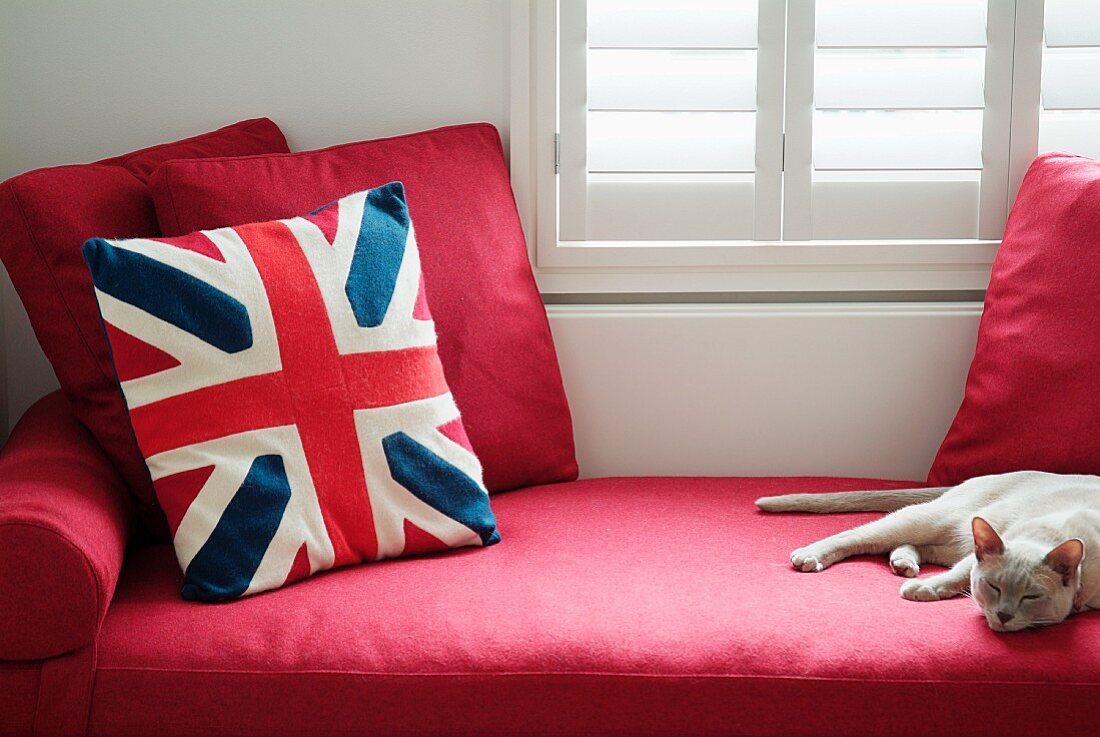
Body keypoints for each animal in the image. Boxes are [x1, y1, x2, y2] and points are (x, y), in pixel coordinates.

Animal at [756, 473, 1100, 633]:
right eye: (994, 587)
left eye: (1031, 597)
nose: (1003, 615)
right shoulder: (981, 554)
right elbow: (959, 576)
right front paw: (925, 590)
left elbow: (959, 577)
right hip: (932, 519)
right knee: (860, 535)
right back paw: (808, 556)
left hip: (951, 537)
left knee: (910, 547)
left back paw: (903, 564)